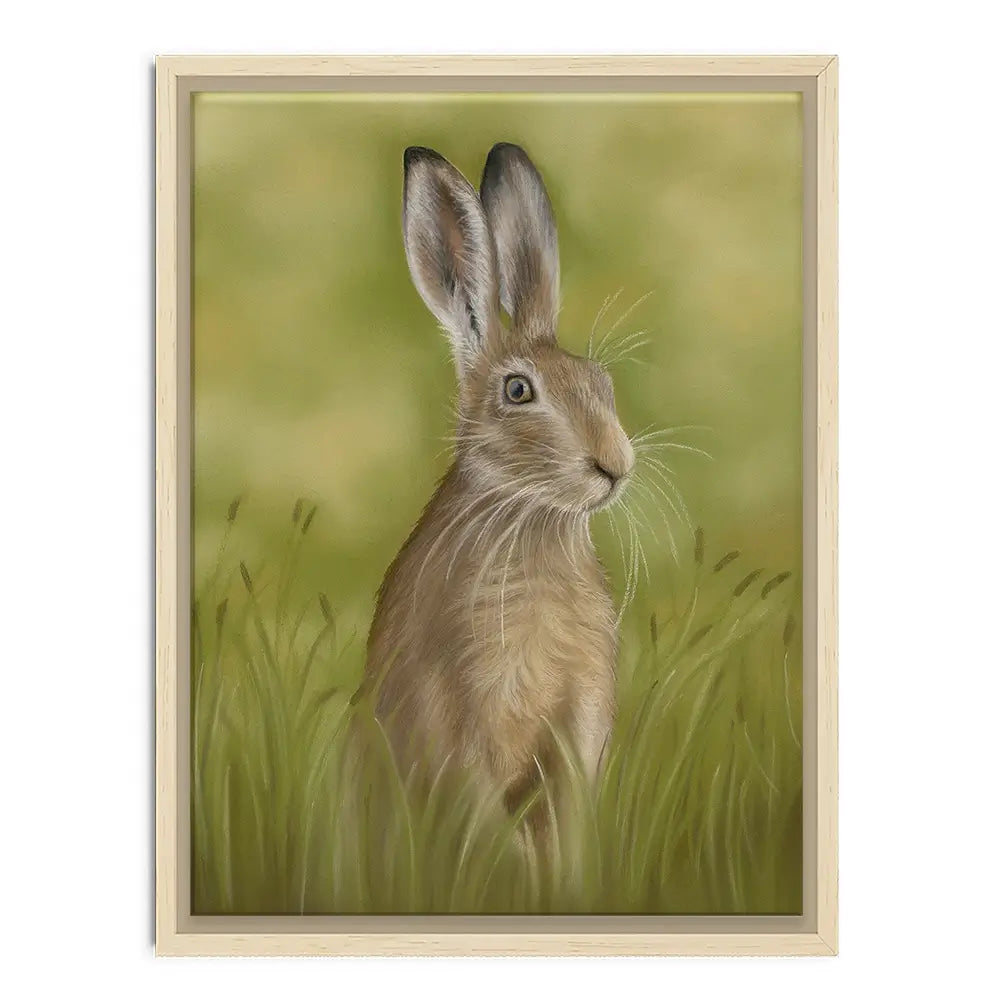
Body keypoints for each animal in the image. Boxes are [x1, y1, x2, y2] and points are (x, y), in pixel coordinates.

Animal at [365, 142, 634, 835]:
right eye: (518, 391)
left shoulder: (579, 724)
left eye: (600, 382)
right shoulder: (462, 720)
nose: (615, 464)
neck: (533, 520)